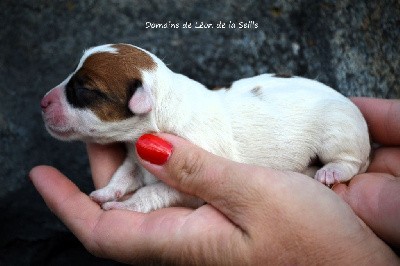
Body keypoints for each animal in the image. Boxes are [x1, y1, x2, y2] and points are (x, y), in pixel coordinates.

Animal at [39, 44, 368, 214]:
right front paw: (107, 192)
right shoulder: (136, 156)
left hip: (338, 131)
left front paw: (128, 206)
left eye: (83, 89)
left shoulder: (188, 189)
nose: (42, 102)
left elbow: (154, 191)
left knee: (351, 162)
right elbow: (124, 173)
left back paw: (330, 172)